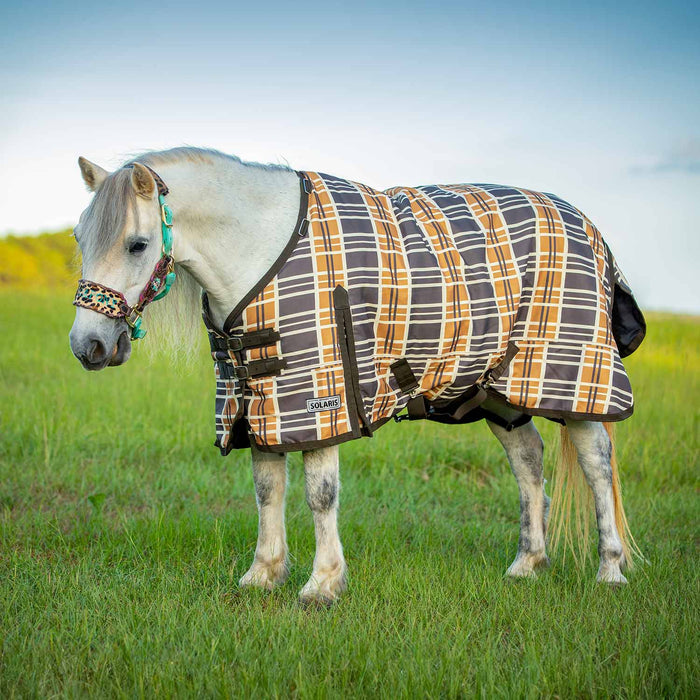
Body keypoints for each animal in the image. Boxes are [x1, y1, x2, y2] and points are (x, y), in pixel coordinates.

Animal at [69, 147, 644, 605]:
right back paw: (528, 564)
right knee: (528, 462)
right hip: (497, 386)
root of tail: (588, 227)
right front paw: (263, 574)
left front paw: (322, 585)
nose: (86, 345)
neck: (261, 249)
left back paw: (610, 570)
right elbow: (267, 488)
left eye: (137, 244)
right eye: (79, 237)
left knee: (597, 465)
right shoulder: (256, 395)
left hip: (573, 374)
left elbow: (319, 494)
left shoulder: (319, 397)